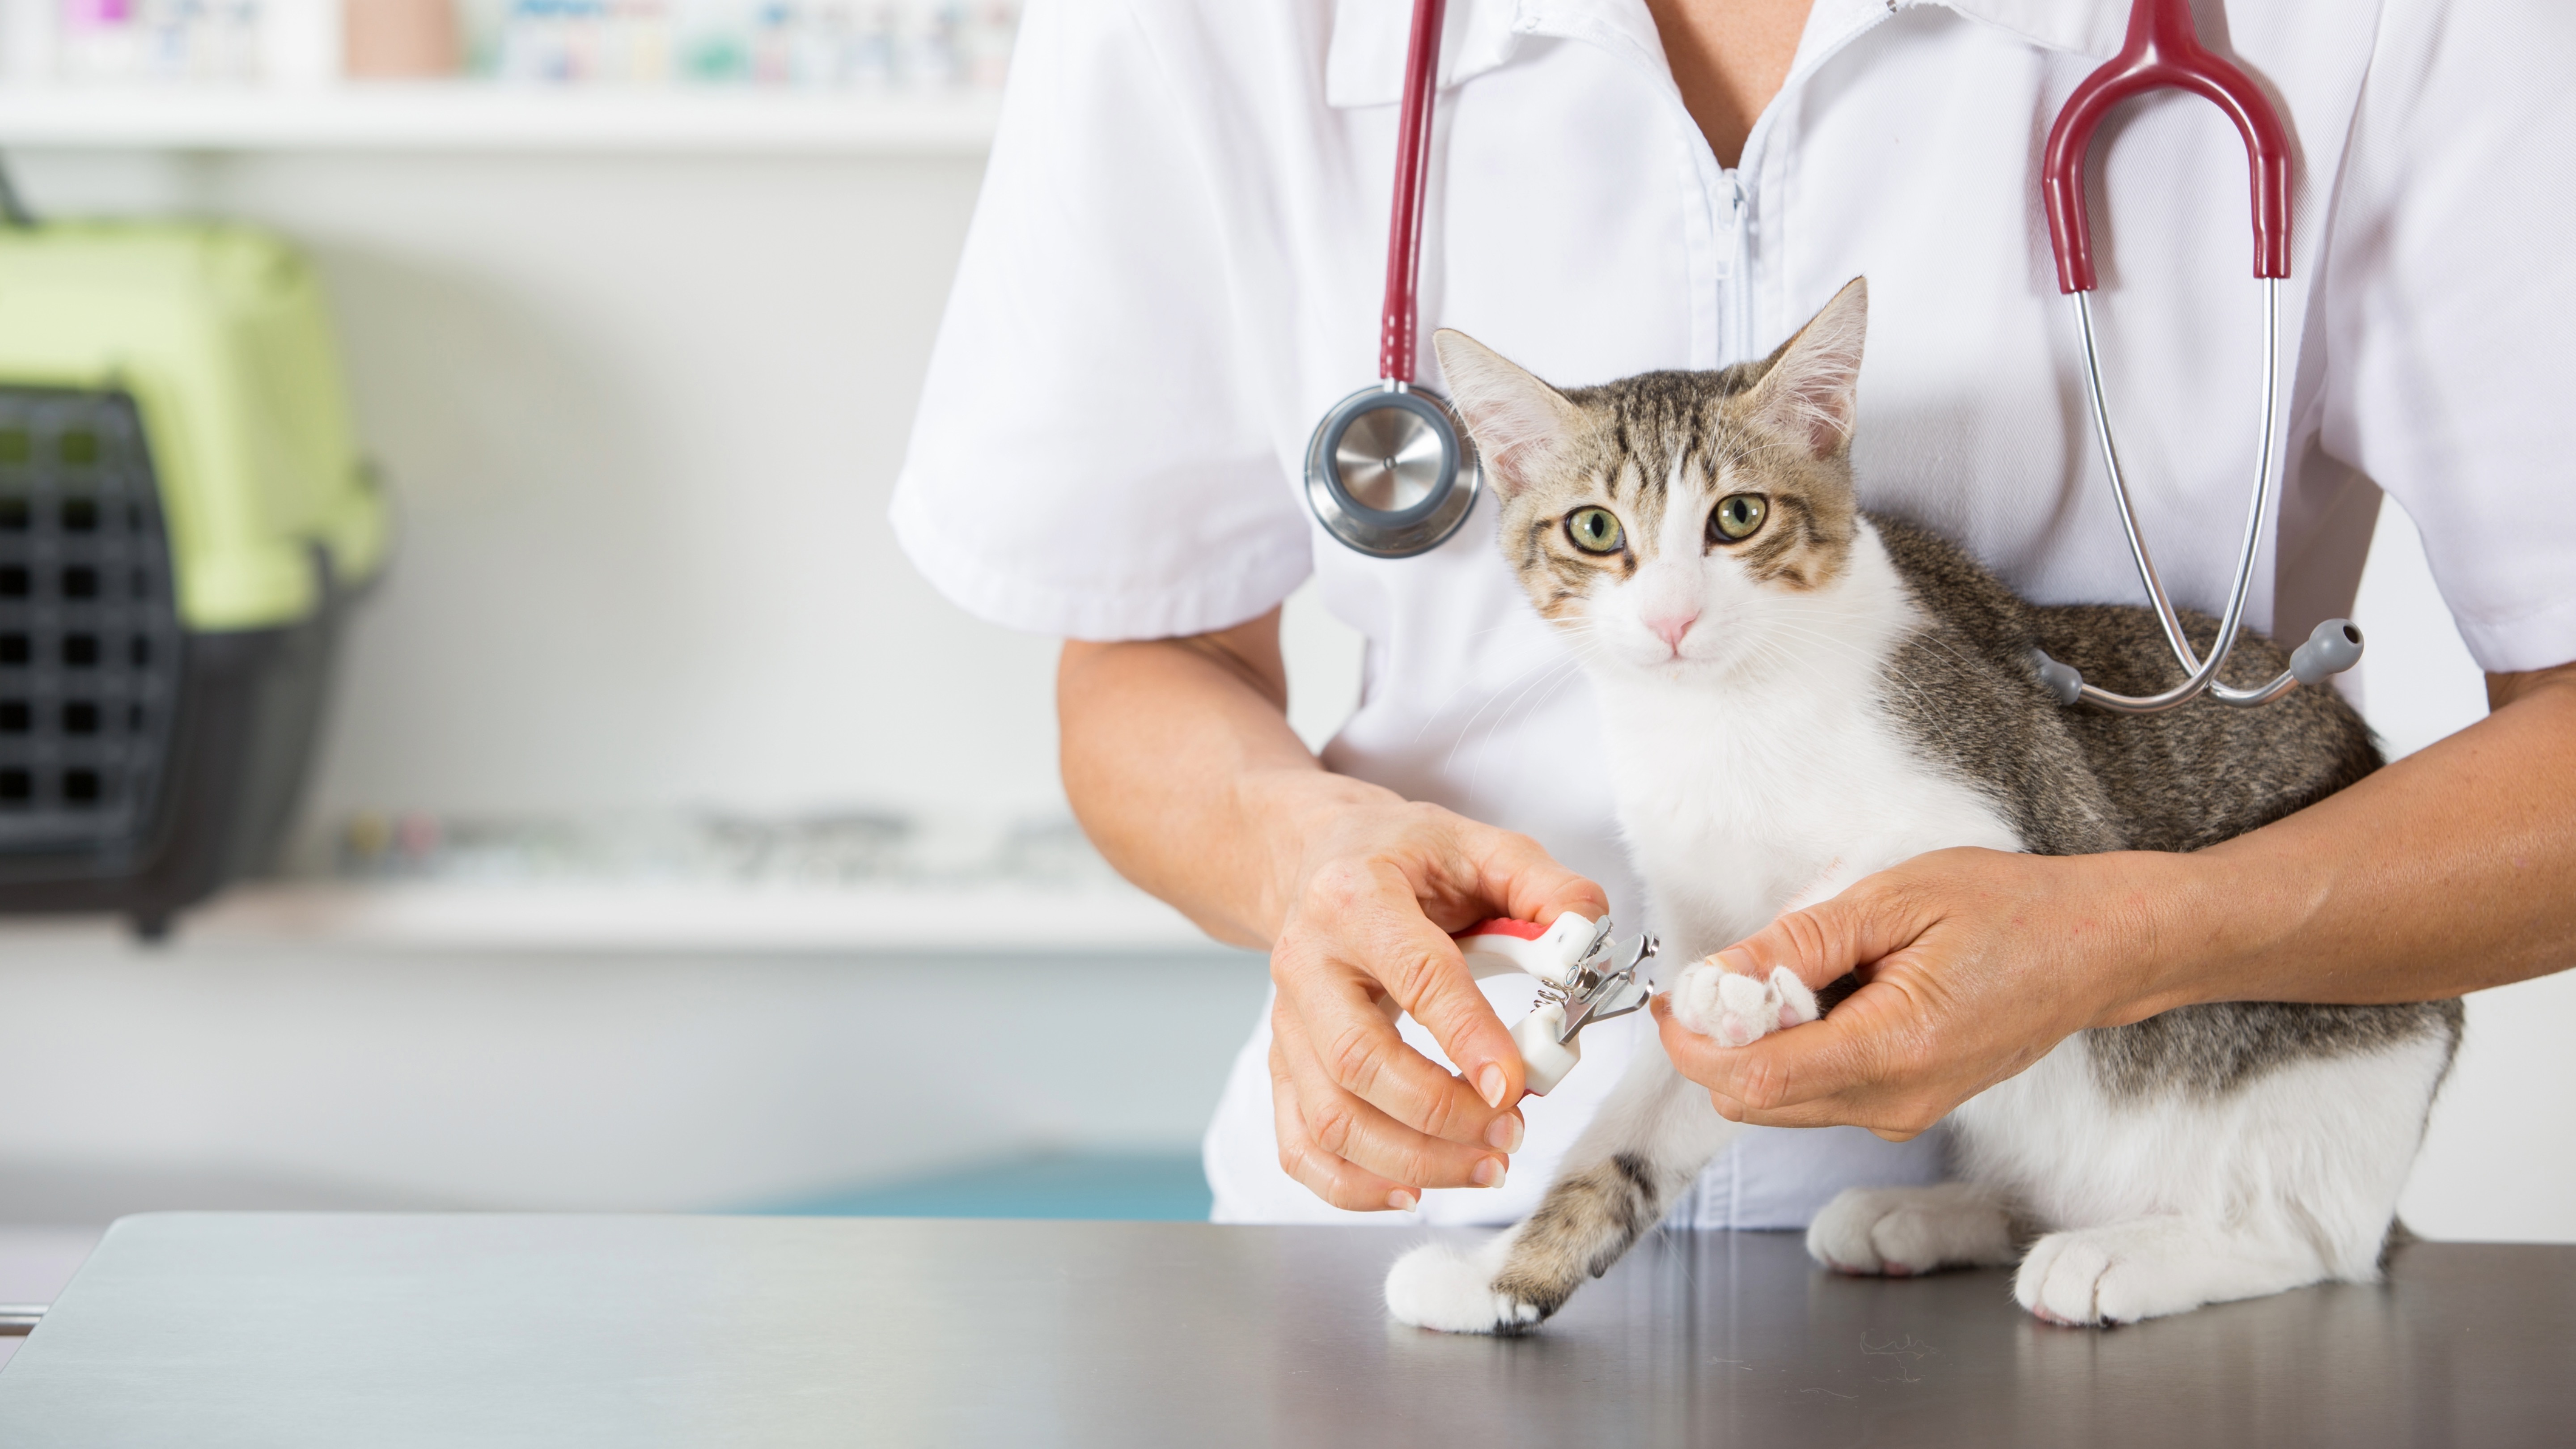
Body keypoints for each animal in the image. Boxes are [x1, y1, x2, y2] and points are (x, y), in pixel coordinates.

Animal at [1391, 275, 2452, 1330]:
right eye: (1595, 529)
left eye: (1738, 517)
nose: (1673, 618)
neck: (1721, 712)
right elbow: (1625, 1145)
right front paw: (1499, 1279)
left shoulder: (2005, 801)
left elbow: (1850, 877)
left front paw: (1753, 983)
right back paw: (1931, 1216)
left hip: (2337, 1058)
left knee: (2311, 1239)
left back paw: (2128, 1254)